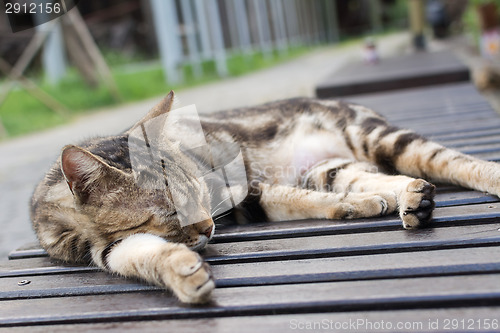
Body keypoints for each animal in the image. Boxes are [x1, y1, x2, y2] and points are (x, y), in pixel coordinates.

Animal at [30, 91, 500, 304]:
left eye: (199, 193)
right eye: (170, 212)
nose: (210, 227)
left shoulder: (239, 189)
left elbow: (292, 197)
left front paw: (357, 208)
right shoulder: (105, 248)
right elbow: (142, 255)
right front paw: (183, 273)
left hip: (382, 139)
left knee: (454, 161)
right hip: (331, 168)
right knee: (367, 179)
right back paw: (410, 199)